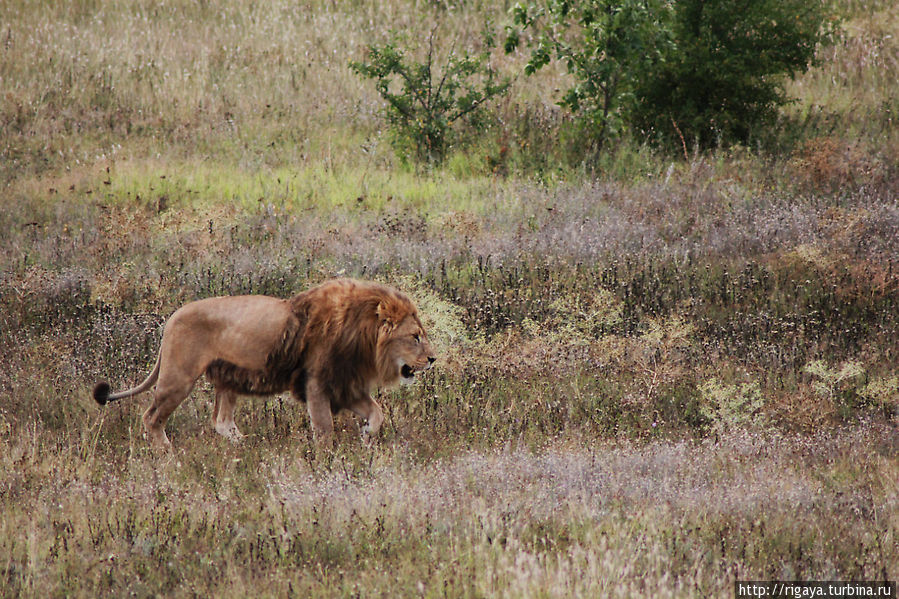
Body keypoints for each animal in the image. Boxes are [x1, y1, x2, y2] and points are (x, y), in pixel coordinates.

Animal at [95, 278, 436, 448]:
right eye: (415, 336)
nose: (433, 359)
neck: (363, 337)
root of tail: (171, 318)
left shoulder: (345, 385)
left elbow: (377, 413)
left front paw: (366, 437)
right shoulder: (317, 383)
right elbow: (324, 429)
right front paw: (328, 460)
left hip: (227, 380)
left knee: (222, 421)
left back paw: (245, 448)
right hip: (178, 378)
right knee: (151, 418)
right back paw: (168, 456)